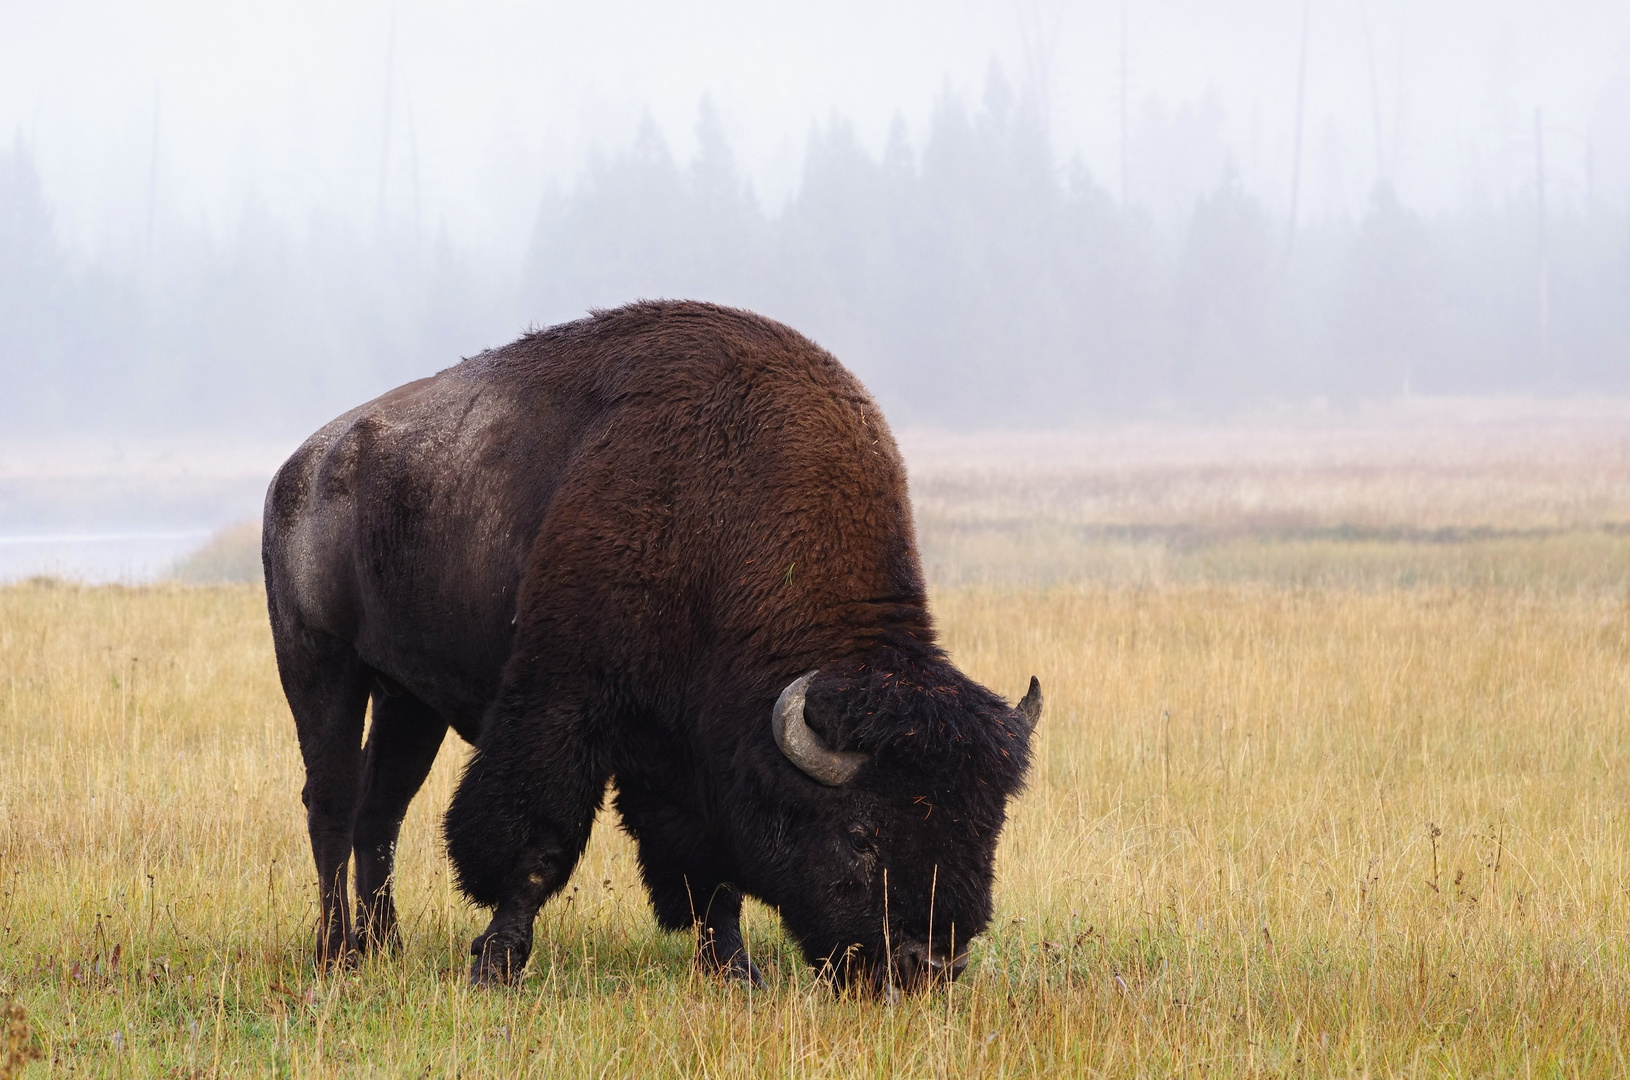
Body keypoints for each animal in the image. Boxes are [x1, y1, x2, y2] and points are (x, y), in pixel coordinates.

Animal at [260, 299, 1036, 990]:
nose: (927, 963)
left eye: (987, 831)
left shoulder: (686, 752)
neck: (721, 514)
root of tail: (298, 470)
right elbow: (539, 841)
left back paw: (385, 946)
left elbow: (708, 870)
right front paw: (496, 965)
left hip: (409, 700)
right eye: (860, 834)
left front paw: (735, 970)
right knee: (332, 803)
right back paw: (337, 953)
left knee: (381, 809)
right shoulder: (563, 704)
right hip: (319, 666)